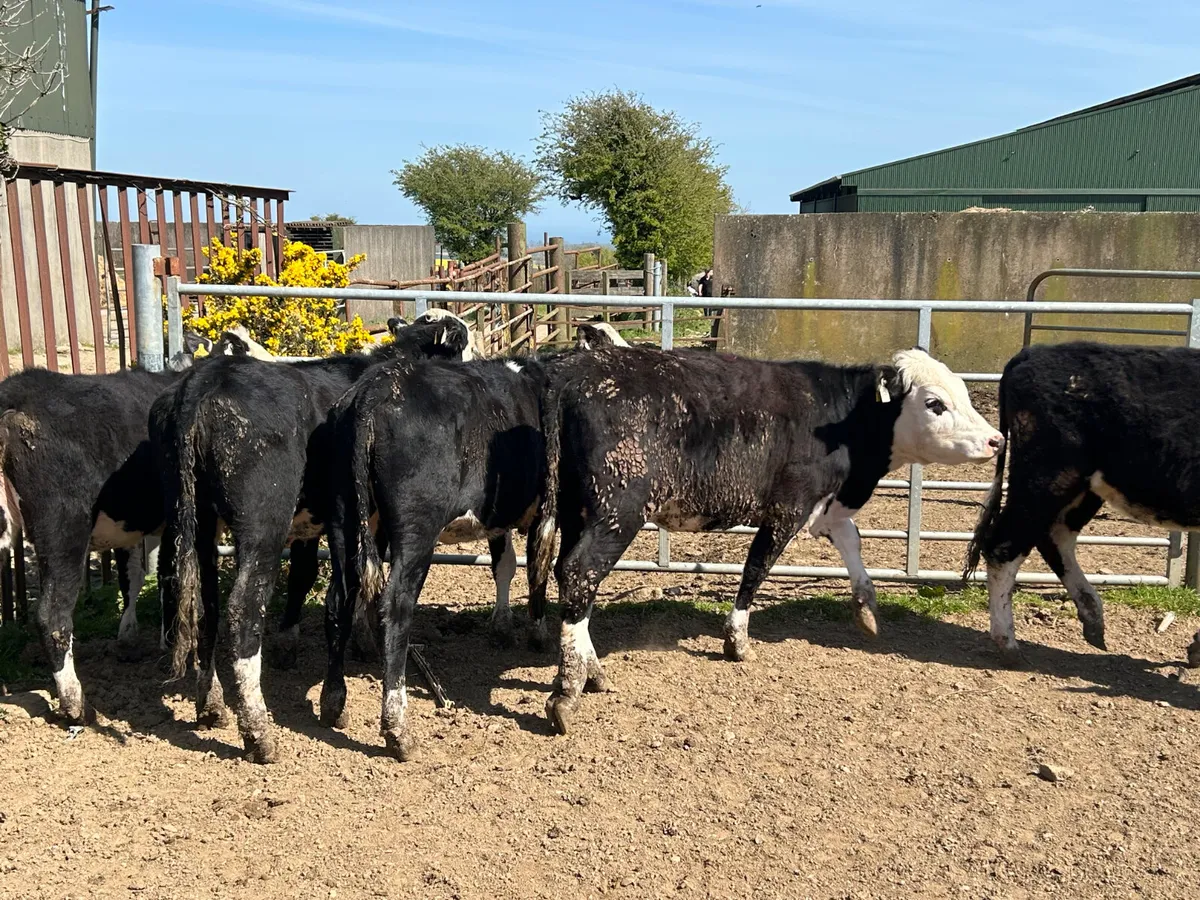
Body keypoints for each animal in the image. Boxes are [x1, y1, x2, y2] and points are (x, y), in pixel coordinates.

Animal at [159, 313, 472, 763]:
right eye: (460, 343)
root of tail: (206, 379)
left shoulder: (317, 525)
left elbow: (310, 578)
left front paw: (294, 645)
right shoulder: (365, 521)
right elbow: (356, 586)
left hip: (197, 522)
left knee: (204, 602)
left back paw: (211, 705)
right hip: (263, 524)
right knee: (242, 609)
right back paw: (259, 733)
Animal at [317, 321, 631, 760]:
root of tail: (374, 391)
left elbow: (509, 565)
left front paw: (505, 628)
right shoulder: (566, 512)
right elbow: (551, 571)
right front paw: (577, 660)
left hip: (345, 520)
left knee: (338, 601)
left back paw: (334, 703)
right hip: (415, 532)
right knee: (394, 607)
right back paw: (398, 729)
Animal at [530, 346, 1004, 733]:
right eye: (935, 403)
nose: (996, 440)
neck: (837, 419)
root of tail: (571, 372)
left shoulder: (826, 505)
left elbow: (852, 544)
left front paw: (866, 609)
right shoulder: (788, 508)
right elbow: (756, 570)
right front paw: (737, 640)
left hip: (577, 511)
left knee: (569, 577)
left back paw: (592, 670)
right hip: (619, 510)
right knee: (579, 573)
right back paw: (568, 689)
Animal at [965, 342, 1200, 666]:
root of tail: (1034, 352)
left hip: (1081, 488)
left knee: (1054, 537)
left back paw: (1093, 618)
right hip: (1049, 476)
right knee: (1004, 545)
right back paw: (1009, 644)